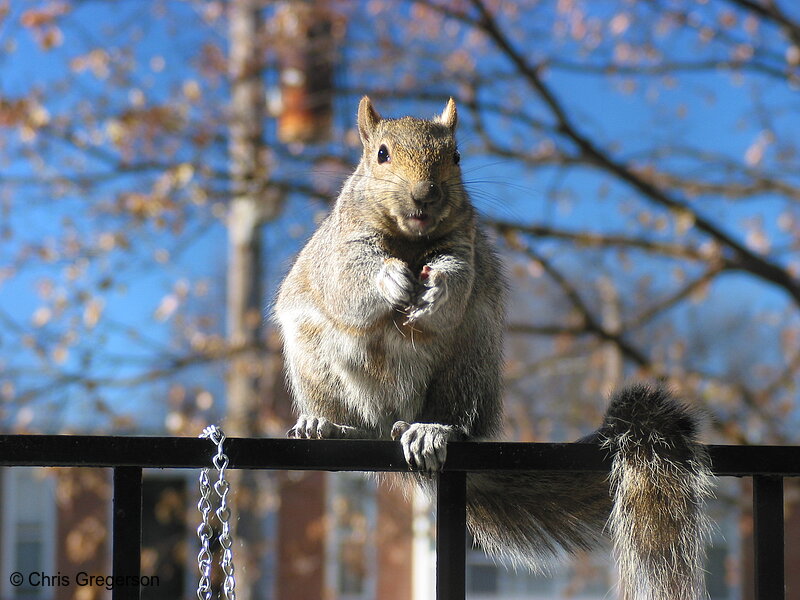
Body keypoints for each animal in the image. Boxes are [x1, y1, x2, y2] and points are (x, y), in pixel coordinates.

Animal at [276, 97, 712, 600]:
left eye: (456, 156)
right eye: (381, 155)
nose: (425, 194)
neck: (410, 240)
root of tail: (393, 420)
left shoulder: (463, 247)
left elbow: (456, 279)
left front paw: (439, 290)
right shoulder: (341, 249)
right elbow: (350, 279)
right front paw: (389, 277)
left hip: (468, 365)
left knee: (454, 419)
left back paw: (433, 431)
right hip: (316, 365)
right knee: (358, 427)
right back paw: (327, 425)